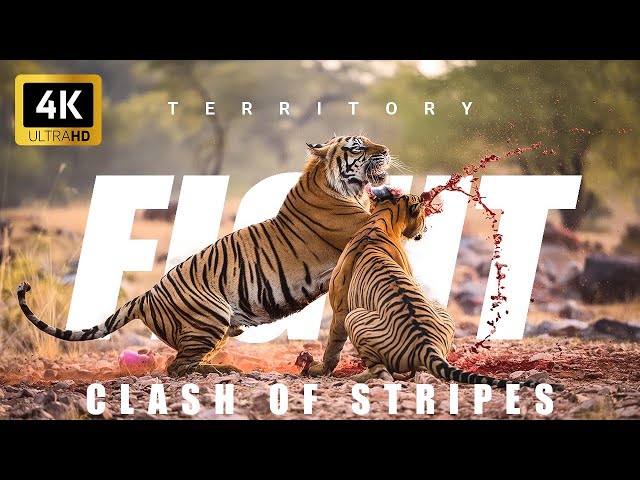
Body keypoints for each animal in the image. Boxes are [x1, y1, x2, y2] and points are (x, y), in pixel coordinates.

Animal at [17, 135, 392, 377]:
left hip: (220, 329)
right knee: (176, 368)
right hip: (211, 318)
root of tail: (144, 296)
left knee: (185, 362)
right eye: (358, 146)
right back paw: (229, 369)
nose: (387, 150)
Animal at [309, 186, 563, 390]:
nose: (427, 227)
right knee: (400, 373)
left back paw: (360, 377)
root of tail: (427, 346)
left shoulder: (341, 310)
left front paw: (319, 370)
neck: (382, 219)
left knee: (384, 374)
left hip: (354, 317)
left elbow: (333, 345)